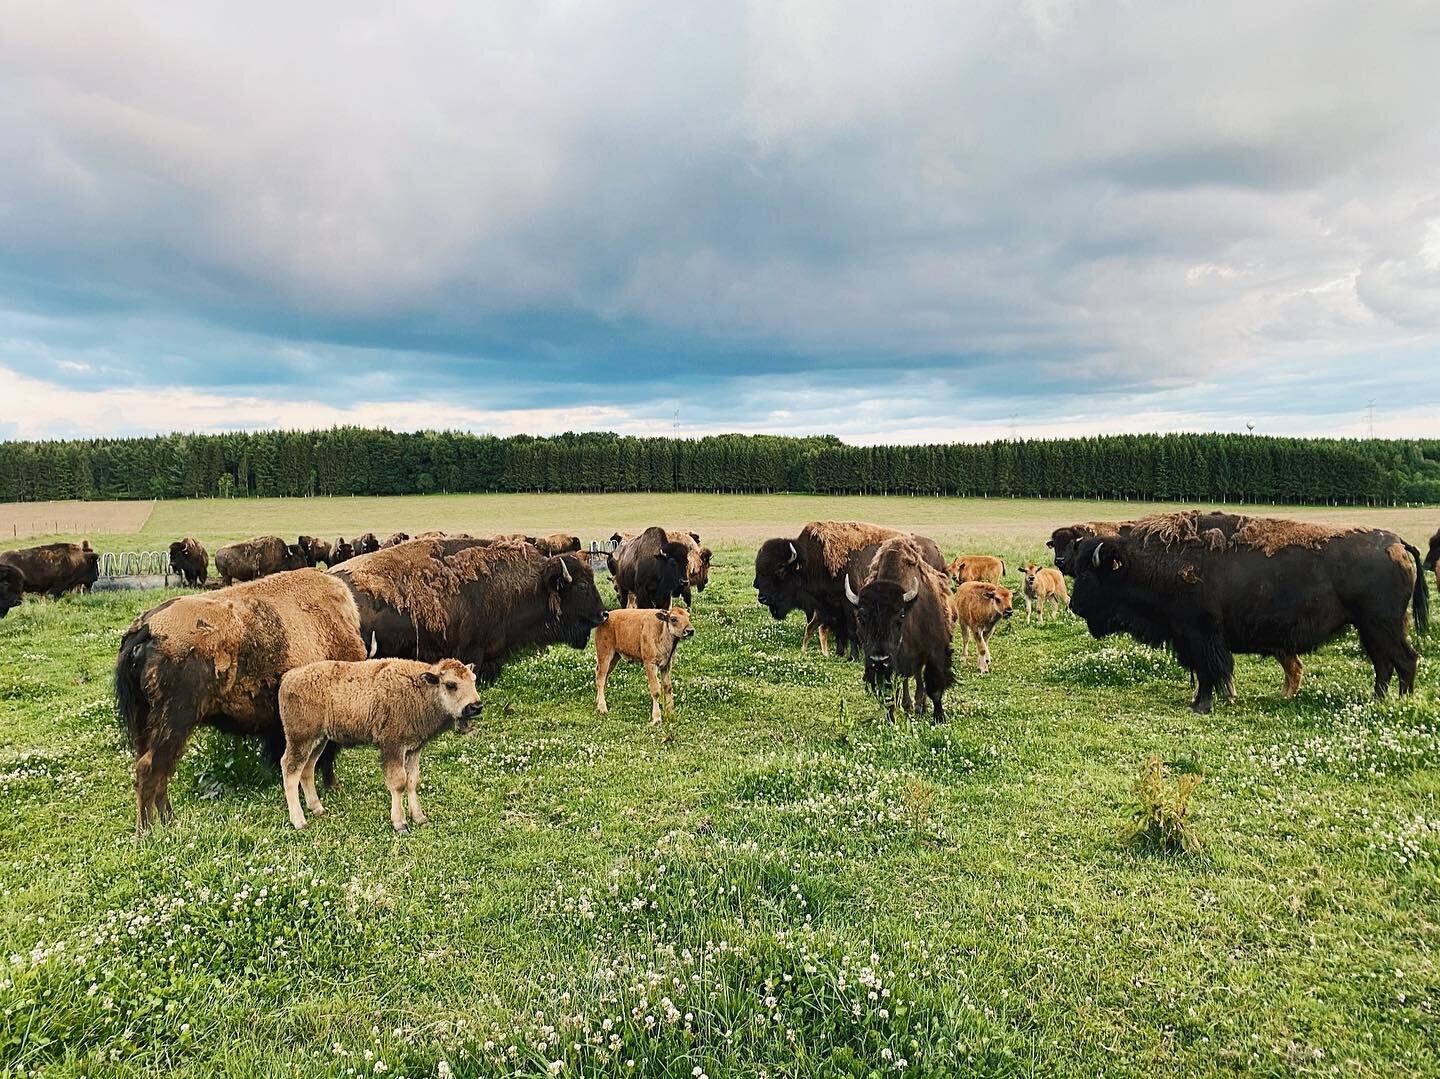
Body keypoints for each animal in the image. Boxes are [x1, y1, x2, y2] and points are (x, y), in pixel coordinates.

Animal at [115, 567, 368, 829]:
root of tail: (147, 628)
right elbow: (324, 757)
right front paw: (331, 787)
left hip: (148, 725)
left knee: (156, 772)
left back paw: (167, 822)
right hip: (174, 723)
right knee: (150, 770)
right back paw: (148, 830)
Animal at [277, 656, 480, 835]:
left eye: (474, 680)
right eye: (451, 684)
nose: (476, 706)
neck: (420, 688)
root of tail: (289, 677)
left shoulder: (414, 749)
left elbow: (412, 781)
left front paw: (420, 818)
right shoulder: (393, 748)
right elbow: (398, 783)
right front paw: (400, 824)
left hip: (319, 740)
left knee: (307, 769)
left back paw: (318, 809)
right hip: (300, 739)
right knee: (290, 770)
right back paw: (299, 821)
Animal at [840, 535, 956, 720]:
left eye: (901, 615)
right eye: (861, 617)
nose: (879, 660)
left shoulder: (935, 652)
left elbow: (935, 689)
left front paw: (939, 718)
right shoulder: (890, 665)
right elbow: (890, 693)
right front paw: (891, 718)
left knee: (919, 677)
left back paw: (920, 706)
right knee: (908, 679)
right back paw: (911, 706)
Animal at [1071, 509, 1428, 711]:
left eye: (1087, 575)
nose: (1074, 606)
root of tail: (1396, 542)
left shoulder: (1201, 635)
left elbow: (1210, 672)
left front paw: (1202, 706)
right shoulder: (1190, 638)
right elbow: (1206, 672)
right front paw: (1200, 701)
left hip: (1381, 625)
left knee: (1405, 660)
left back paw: (1400, 705)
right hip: (1370, 629)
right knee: (1384, 663)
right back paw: (1379, 700)